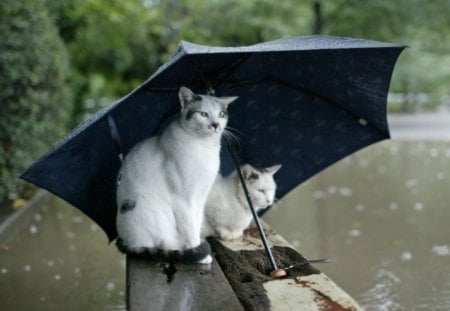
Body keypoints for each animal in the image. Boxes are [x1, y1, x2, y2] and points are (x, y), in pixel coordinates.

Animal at [115, 86, 236, 264]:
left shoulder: (200, 197)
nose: (215, 125)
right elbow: (189, 228)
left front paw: (198, 247)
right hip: (149, 207)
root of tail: (125, 240)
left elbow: (196, 223)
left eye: (221, 114)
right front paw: (200, 254)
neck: (204, 147)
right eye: (203, 114)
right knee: (161, 244)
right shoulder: (182, 199)